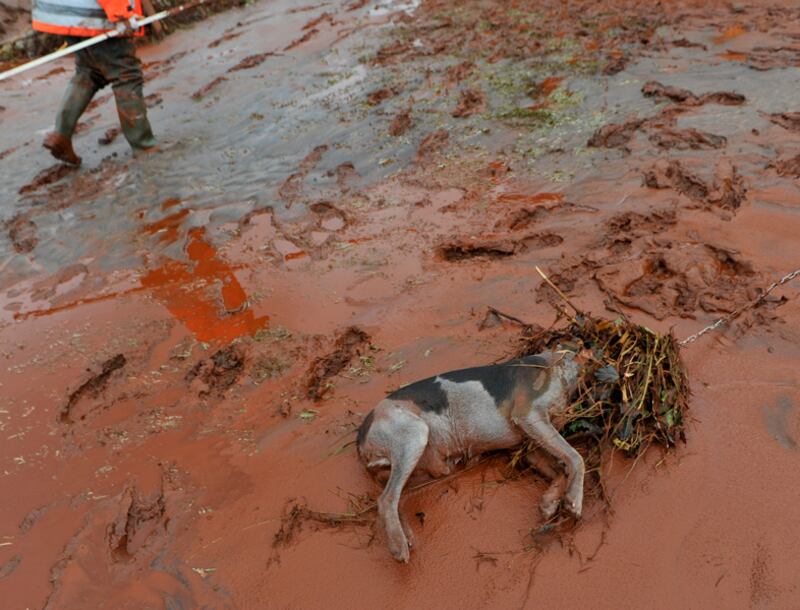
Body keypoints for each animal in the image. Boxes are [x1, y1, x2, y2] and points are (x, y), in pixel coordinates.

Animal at [356, 350, 580, 564]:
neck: (553, 363)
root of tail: (360, 439)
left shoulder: (529, 443)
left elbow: (562, 468)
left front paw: (549, 503)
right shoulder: (529, 416)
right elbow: (575, 456)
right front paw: (574, 502)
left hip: (423, 467)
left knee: (398, 497)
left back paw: (408, 537)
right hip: (414, 436)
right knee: (386, 498)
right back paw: (399, 547)